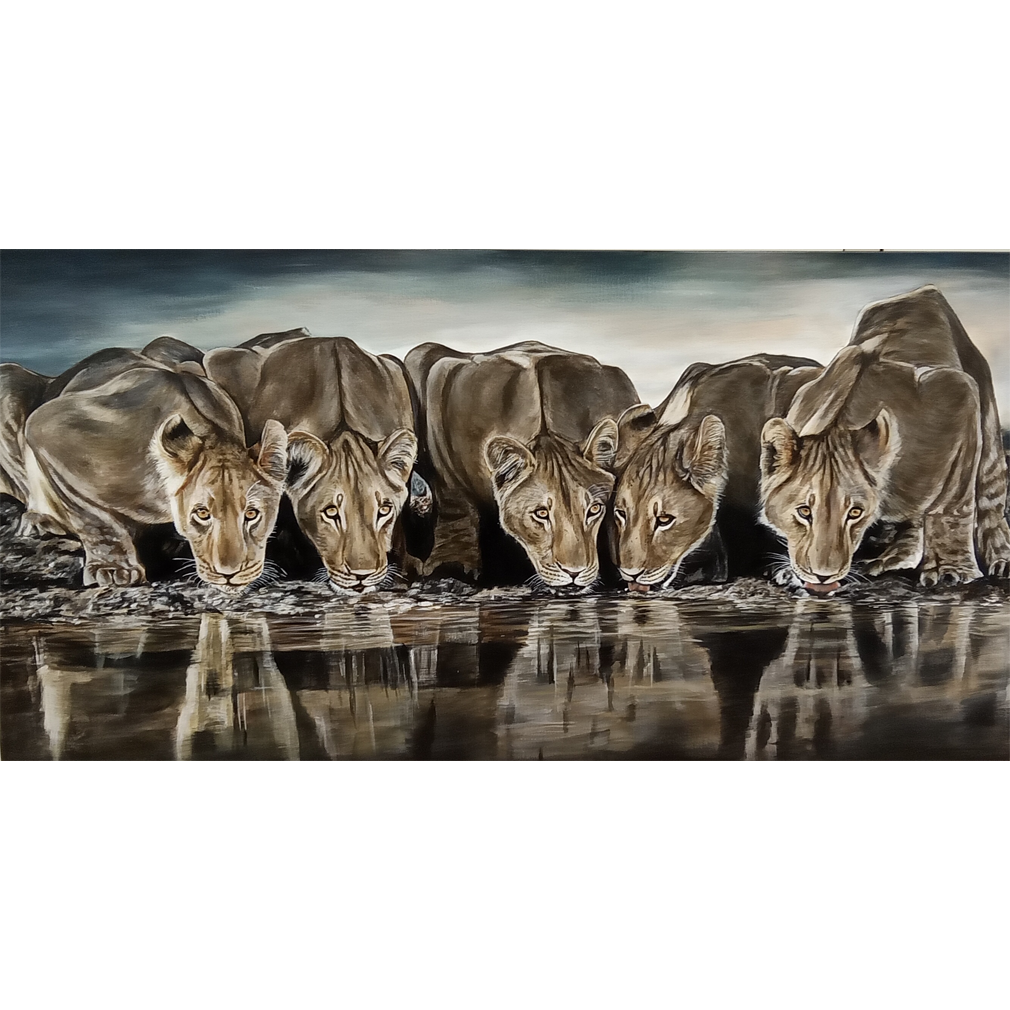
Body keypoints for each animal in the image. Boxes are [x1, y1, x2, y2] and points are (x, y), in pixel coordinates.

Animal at [21, 360, 288, 591]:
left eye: (252, 514)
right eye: (202, 514)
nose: (229, 573)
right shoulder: (48, 428)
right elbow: (92, 517)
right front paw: (112, 569)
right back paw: (40, 521)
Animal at [405, 340, 640, 590]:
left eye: (594, 509)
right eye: (541, 513)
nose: (574, 573)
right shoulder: (441, 382)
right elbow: (454, 507)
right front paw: (449, 569)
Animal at [759, 285, 1010, 595]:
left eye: (855, 513)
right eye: (804, 511)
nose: (822, 577)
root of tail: (923, 292)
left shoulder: (956, 391)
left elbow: (952, 503)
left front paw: (949, 570)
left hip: (985, 413)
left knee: (990, 494)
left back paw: (1000, 559)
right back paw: (891, 557)